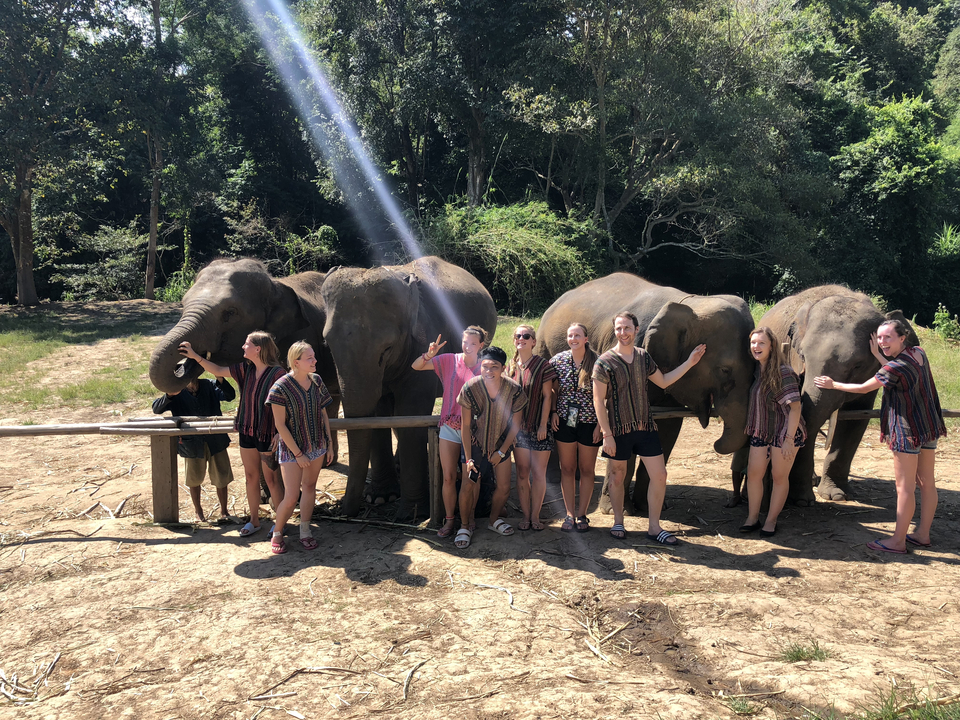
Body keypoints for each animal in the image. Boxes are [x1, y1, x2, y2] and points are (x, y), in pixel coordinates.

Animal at [321, 256, 497, 520]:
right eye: (327, 344)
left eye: (387, 349)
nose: (344, 512)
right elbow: (380, 414)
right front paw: (380, 497)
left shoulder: (423, 340)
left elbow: (409, 414)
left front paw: (410, 513)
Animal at [538, 273, 755, 513]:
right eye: (725, 370)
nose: (715, 443)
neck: (691, 302)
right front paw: (617, 510)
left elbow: (669, 429)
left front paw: (649, 507)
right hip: (543, 346)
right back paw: (555, 479)